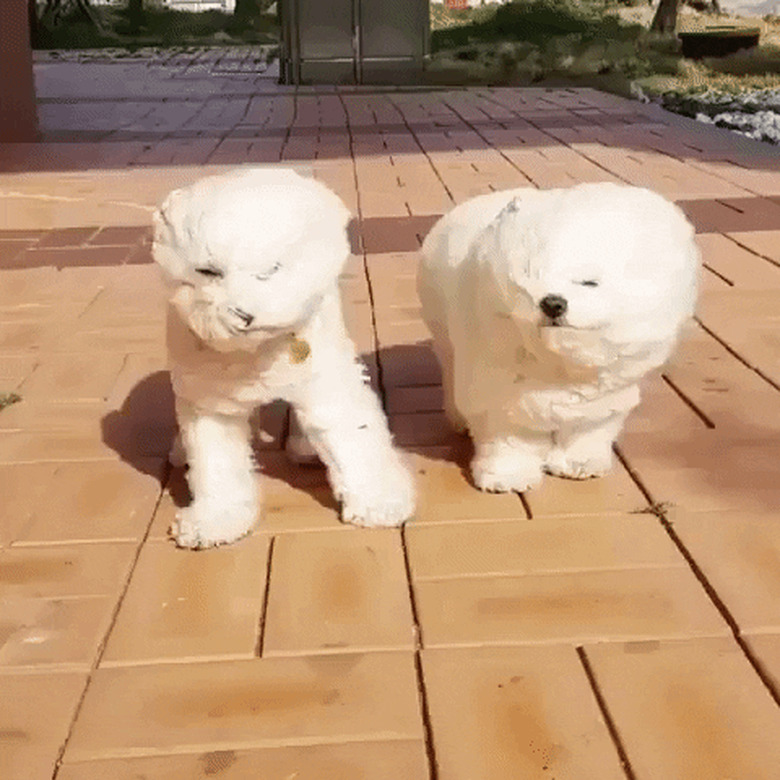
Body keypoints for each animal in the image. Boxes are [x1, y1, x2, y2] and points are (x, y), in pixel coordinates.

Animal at [155, 169, 418, 548]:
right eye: (208, 272)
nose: (243, 314)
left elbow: (353, 437)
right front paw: (215, 520)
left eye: (272, 269)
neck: (258, 352)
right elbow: (215, 461)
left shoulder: (327, 383)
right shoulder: (211, 402)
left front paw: (379, 502)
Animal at [420, 180, 700, 490]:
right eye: (529, 277)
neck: (557, 365)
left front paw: (579, 464)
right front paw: (508, 477)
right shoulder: (498, 389)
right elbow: (508, 439)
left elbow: (588, 430)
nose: (553, 302)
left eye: (589, 283)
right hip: (446, 340)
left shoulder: (602, 396)